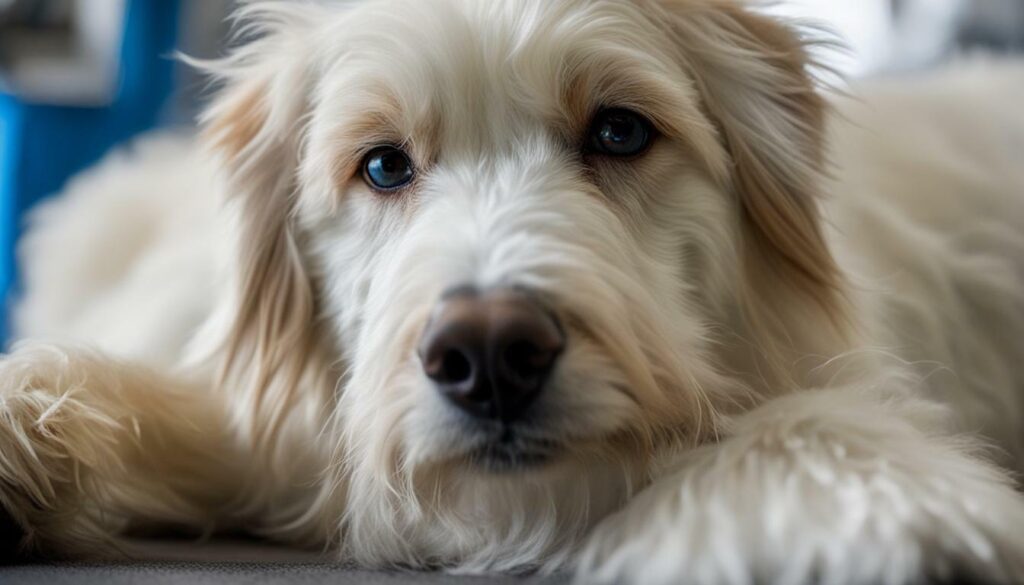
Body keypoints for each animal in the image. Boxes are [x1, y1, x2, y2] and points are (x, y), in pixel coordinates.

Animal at [2, 1, 1024, 585]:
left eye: (619, 131)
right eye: (383, 164)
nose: (490, 354)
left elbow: (796, 421)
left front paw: (882, 503)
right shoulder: (278, 427)